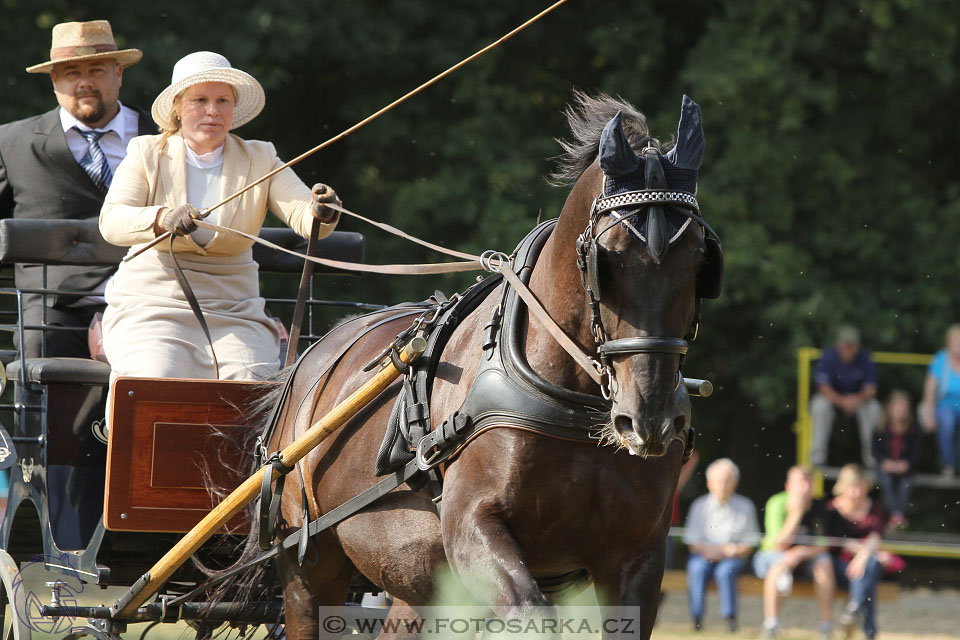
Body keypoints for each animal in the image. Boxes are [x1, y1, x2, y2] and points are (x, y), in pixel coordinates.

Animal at [255, 91, 720, 640]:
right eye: (608, 258)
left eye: (701, 261)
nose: (649, 418)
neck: (574, 401)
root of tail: (312, 358)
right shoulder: (472, 528)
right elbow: (530, 614)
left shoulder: (637, 556)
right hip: (310, 572)